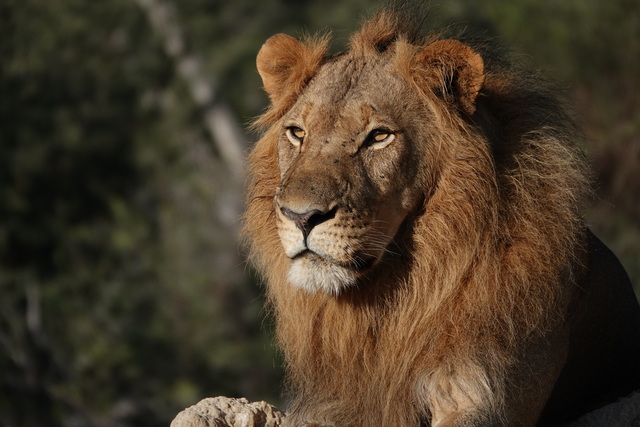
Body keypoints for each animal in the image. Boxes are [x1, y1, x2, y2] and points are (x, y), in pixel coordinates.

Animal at [243, 10, 640, 427]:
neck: (392, 298)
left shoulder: (483, 392)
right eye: (297, 132)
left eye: (379, 136)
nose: (301, 216)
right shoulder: (330, 405)